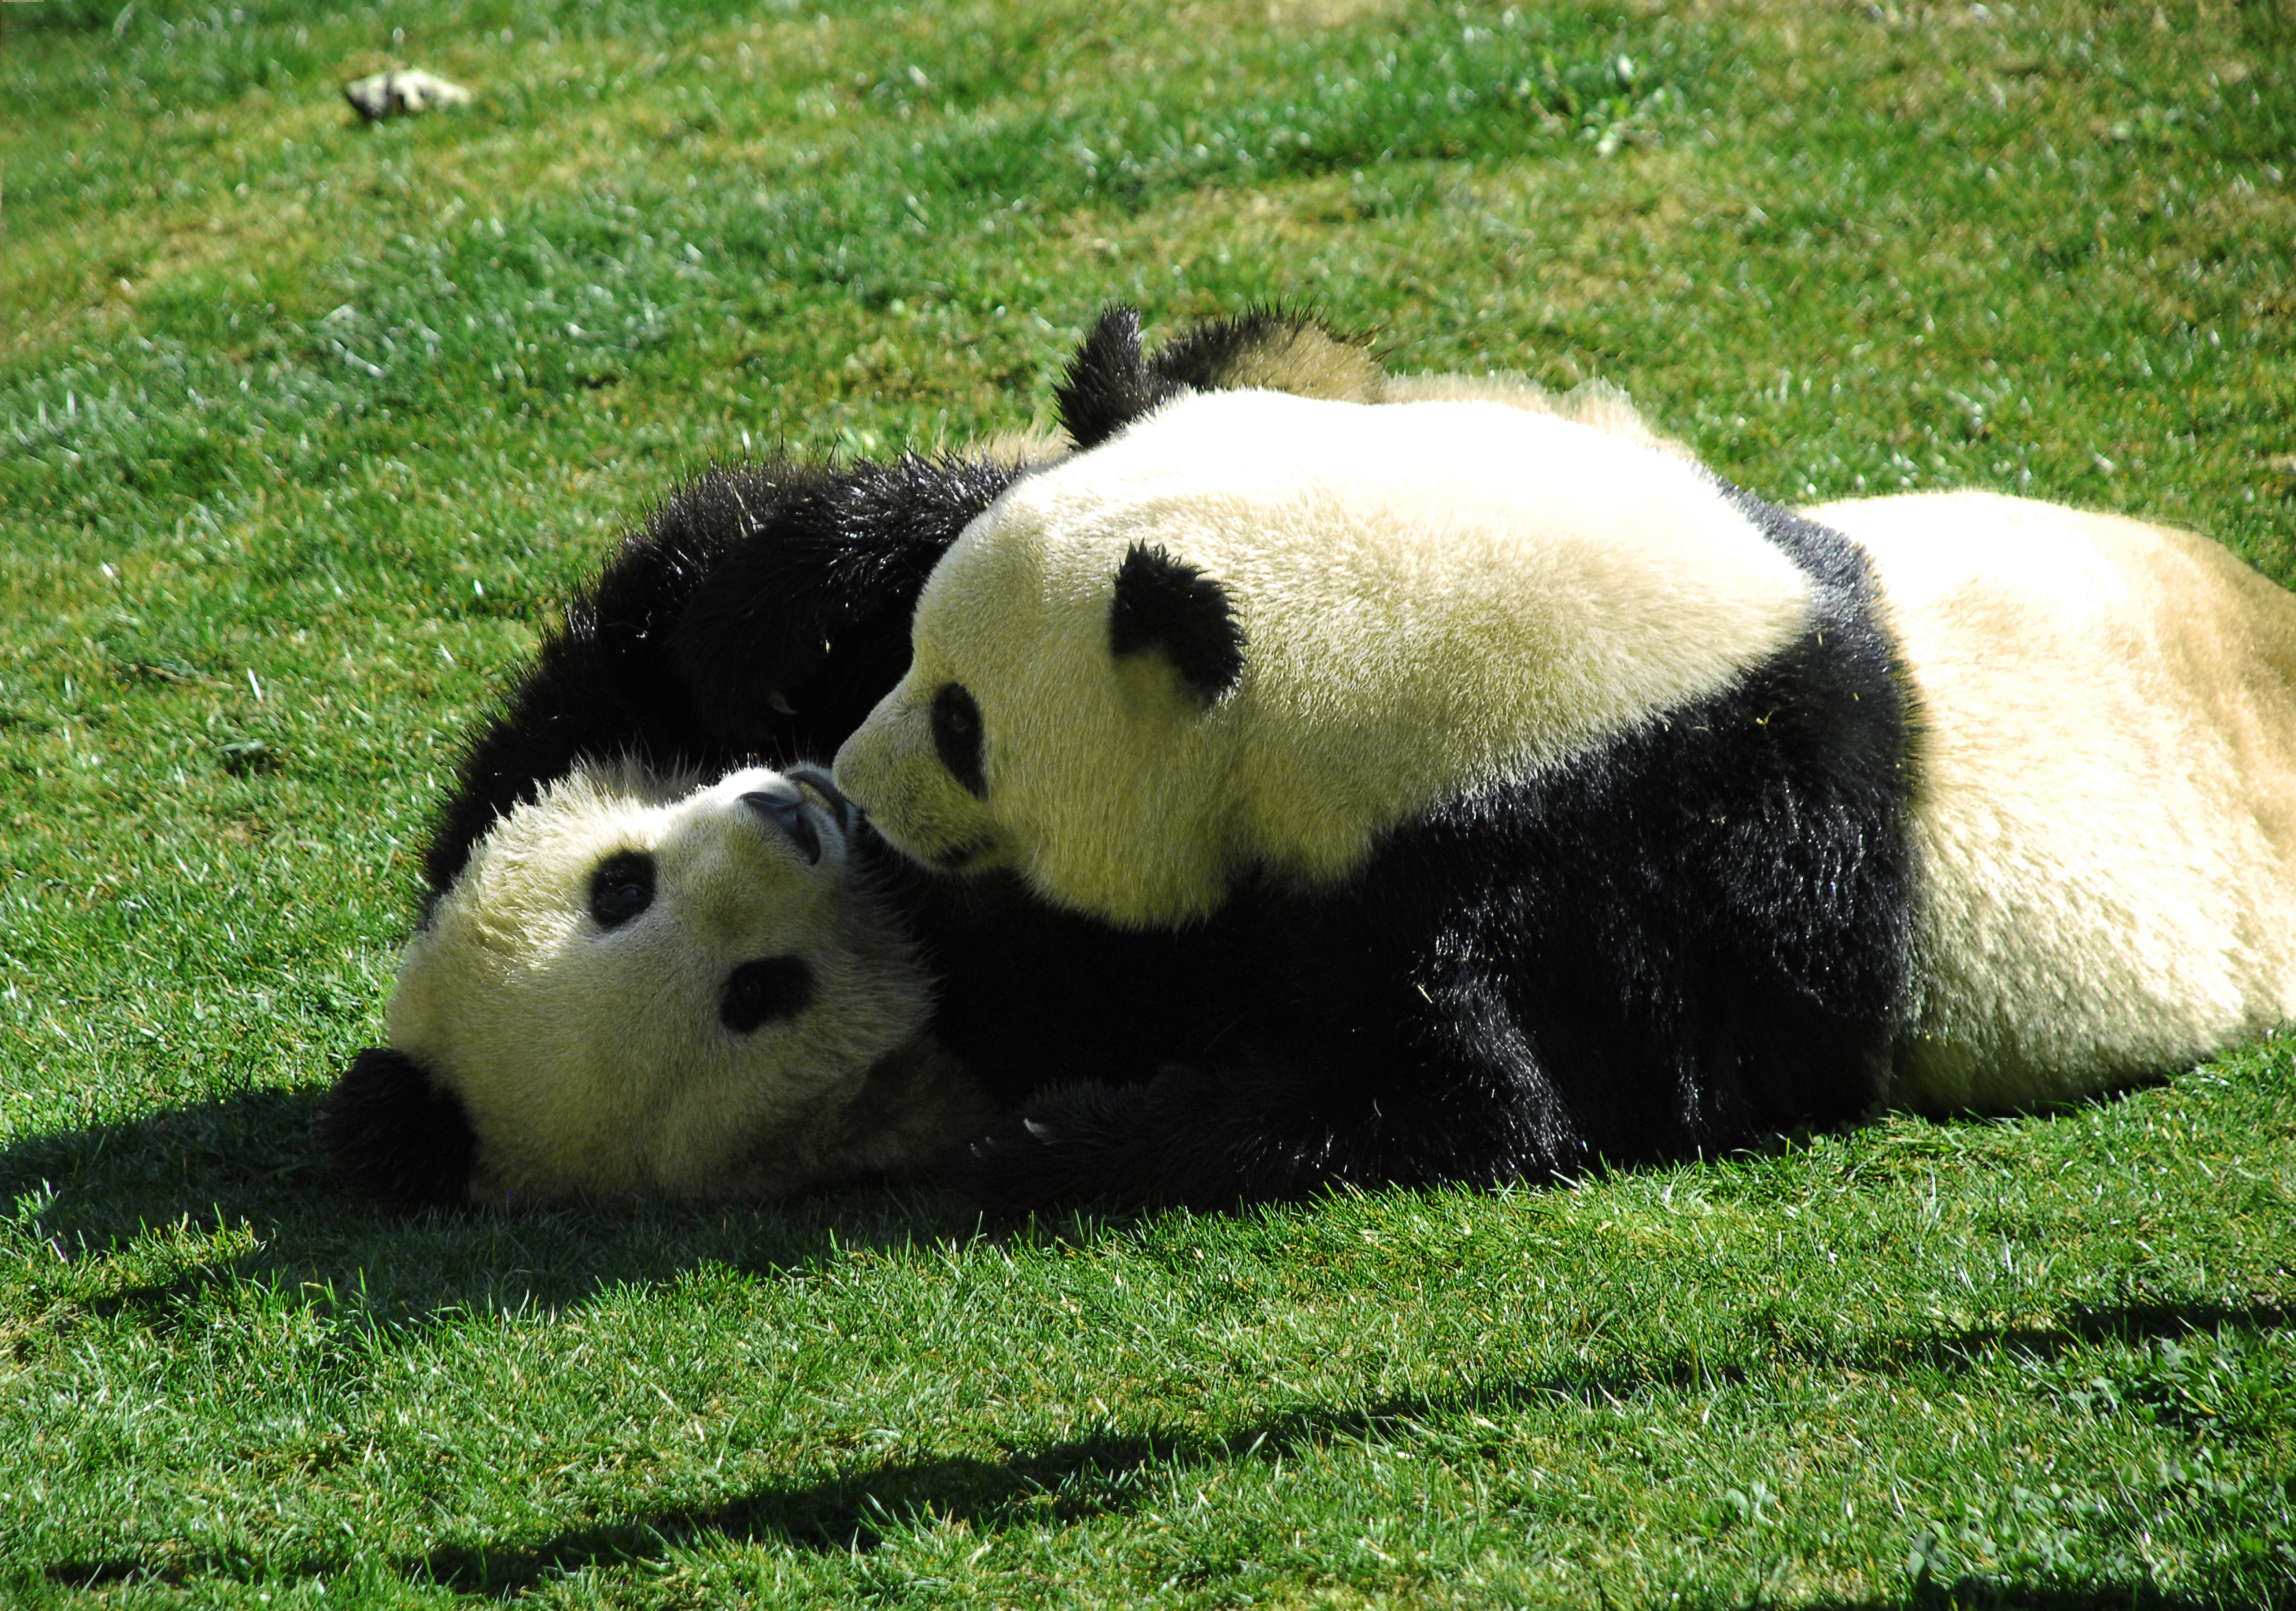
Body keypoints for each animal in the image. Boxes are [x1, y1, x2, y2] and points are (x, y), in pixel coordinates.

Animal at [835, 305, 2296, 1211]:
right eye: (912, 653)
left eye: (963, 723)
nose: (852, 788)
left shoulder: (1622, 858)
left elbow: (1492, 1100)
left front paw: (1062, 1131)